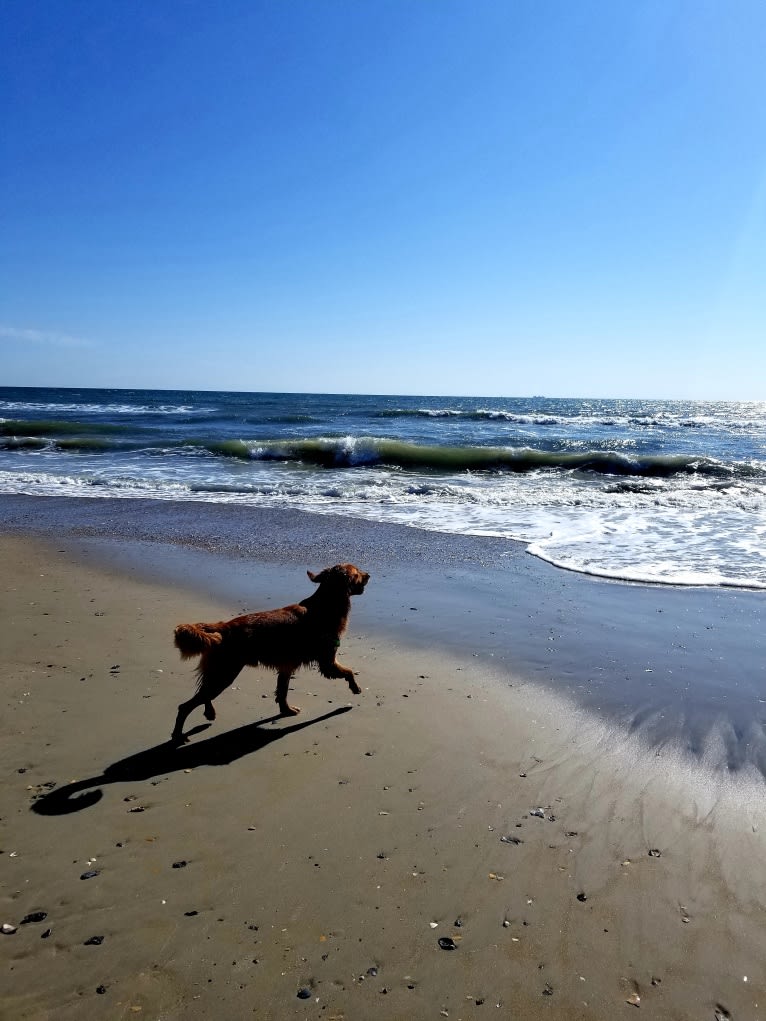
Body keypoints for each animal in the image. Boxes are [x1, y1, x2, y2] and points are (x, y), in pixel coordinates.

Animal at [172, 563, 369, 747]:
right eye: (357, 572)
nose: (369, 575)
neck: (325, 605)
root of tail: (222, 626)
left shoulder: (287, 666)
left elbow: (282, 692)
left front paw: (286, 710)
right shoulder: (327, 662)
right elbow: (349, 671)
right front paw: (355, 688)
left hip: (218, 673)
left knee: (203, 694)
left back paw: (209, 713)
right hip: (225, 673)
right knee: (185, 706)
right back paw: (179, 735)